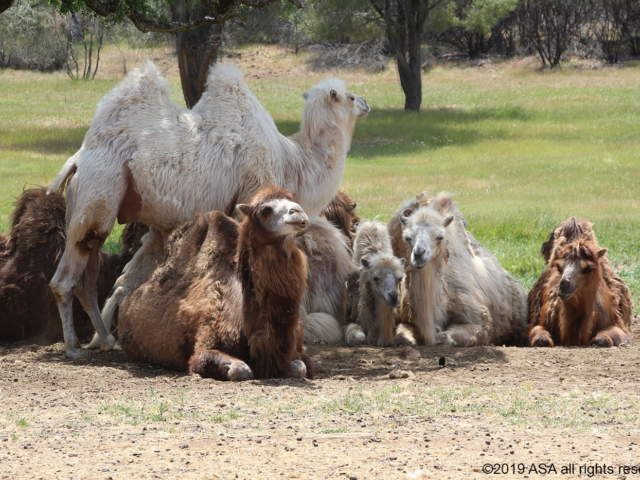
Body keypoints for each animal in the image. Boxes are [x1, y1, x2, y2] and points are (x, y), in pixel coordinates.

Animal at [48, 62, 370, 358]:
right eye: (349, 96)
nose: (367, 103)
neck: (291, 160)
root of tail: (77, 160)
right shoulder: (250, 197)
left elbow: (130, 282)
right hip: (99, 190)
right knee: (65, 278)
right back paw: (74, 348)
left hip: (96, 205)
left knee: (89, 279)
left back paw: (104, 340)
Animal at [118, 188, 316, 378]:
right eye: (264, 210)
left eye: (292, 199)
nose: (298, 212)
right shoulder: (206, 342)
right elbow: (239, 370)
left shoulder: (295, 349)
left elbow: (300, 367)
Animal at [528, 218, 632, 348]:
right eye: (558, 267)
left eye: (588, 268)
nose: (563, 285)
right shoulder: (540, 322)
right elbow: (541, 339)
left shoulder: (617, 325)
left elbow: (604, 339)